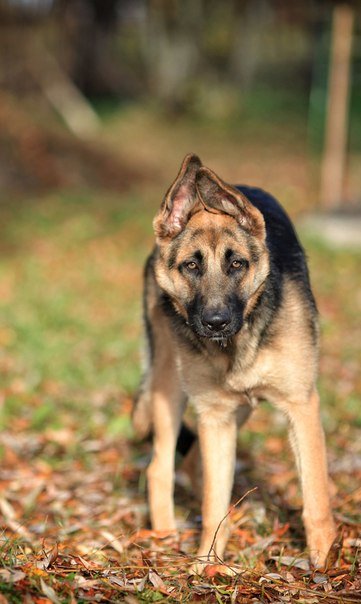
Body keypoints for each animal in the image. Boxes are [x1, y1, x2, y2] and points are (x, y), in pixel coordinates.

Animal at [132, 155, 334, 572]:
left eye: (237, 264)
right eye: (191, 266)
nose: (215, 322)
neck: (236, 344)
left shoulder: (301, 406)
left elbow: (316, 497)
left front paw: (324, 565)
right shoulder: (215, 417)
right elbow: (214, 504)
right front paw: (206, 565)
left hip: (239, 409)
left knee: (192, 464)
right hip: (170, 386)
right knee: (161, 467)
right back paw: (165, 537)